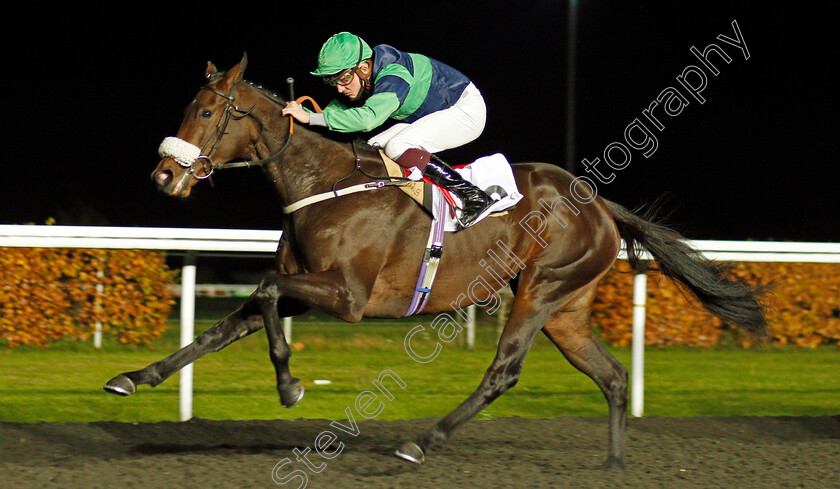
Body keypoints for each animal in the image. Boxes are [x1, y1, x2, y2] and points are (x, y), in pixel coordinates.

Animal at [105, 54, 768, 468]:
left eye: (207, 113)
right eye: (188, 107)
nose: (163, 176)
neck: (323, 183)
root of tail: (600, 203)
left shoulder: (348, 297)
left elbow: (264, 289)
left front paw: (291, 387)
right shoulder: (306, 285)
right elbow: (223, 326)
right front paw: (135, 377)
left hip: (540, 291)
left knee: (503, 372)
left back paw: (422, 442)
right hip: (567, 308)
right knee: (611, 377)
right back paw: (613, 463)